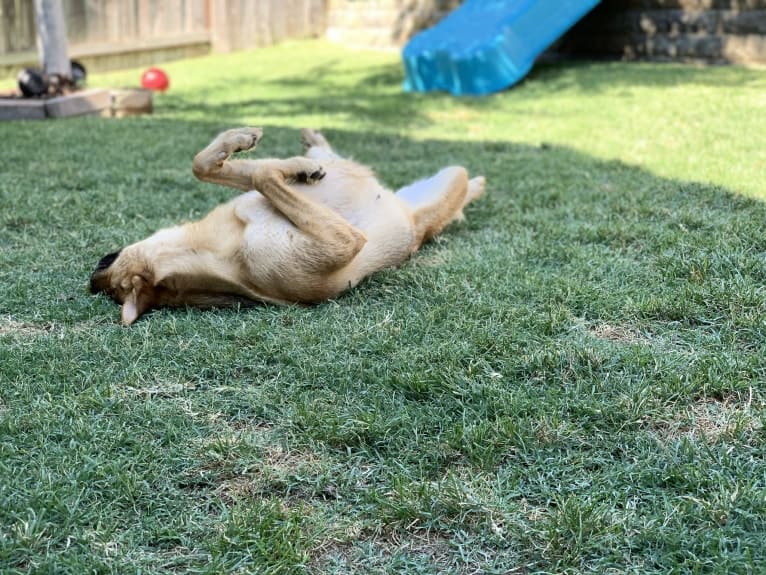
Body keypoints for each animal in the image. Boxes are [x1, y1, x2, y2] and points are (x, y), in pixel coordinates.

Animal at [90, 128, 486, 324]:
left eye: (107, 265)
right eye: (116, 286)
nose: (93, 273)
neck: (216, 249)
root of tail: (416, 225)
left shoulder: (246, 198)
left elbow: (204, 165)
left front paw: (255, 147)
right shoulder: (343, 240)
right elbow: (262, 173)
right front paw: (293, 166)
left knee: (329, 157)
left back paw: (311, 145)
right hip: (450, 179)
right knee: (463, 187)